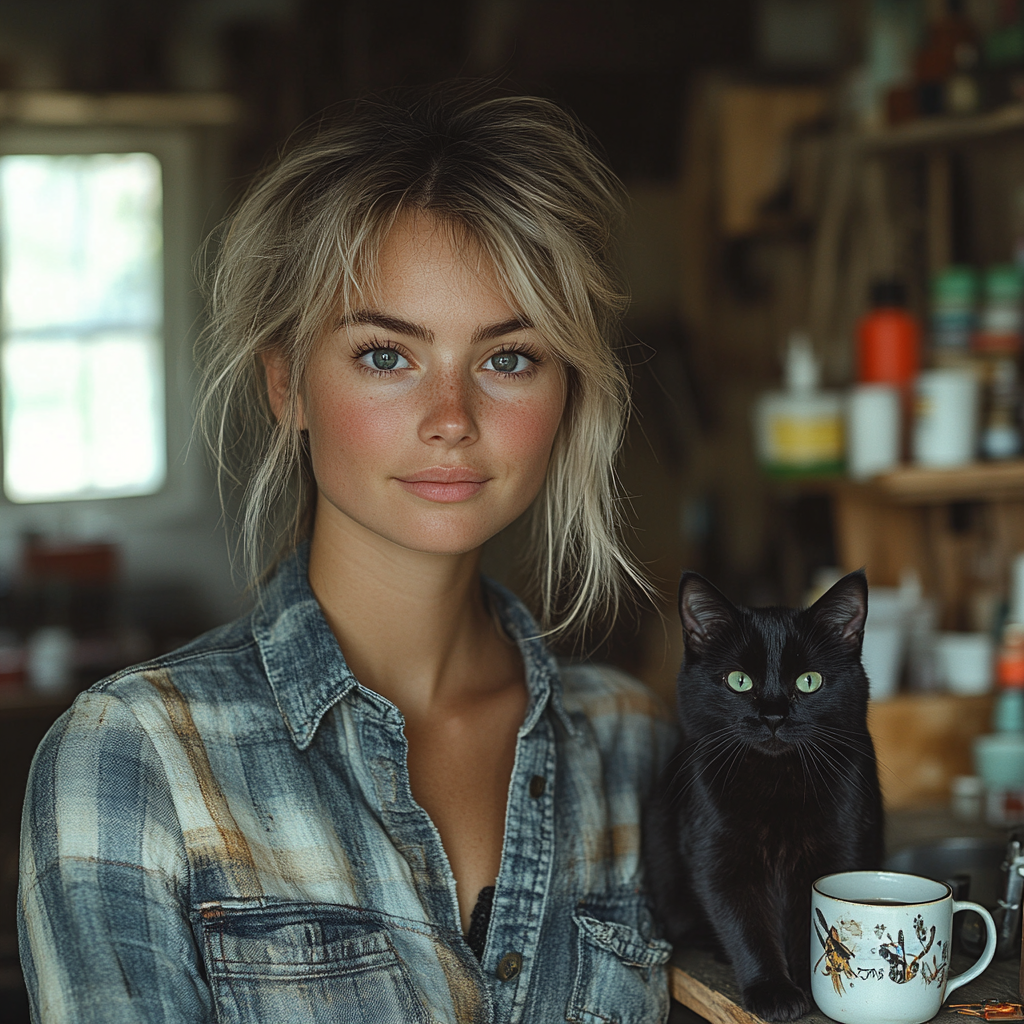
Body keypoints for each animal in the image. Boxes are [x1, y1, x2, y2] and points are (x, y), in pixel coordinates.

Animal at [643, 573, 884, 1019]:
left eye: (809, 681)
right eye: (739, 680)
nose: (773, 715)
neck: (777, 784)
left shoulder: (837, 850)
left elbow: (810, 921)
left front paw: (809, 980)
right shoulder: (720, 860)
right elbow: (747, 926)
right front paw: (774, 991)